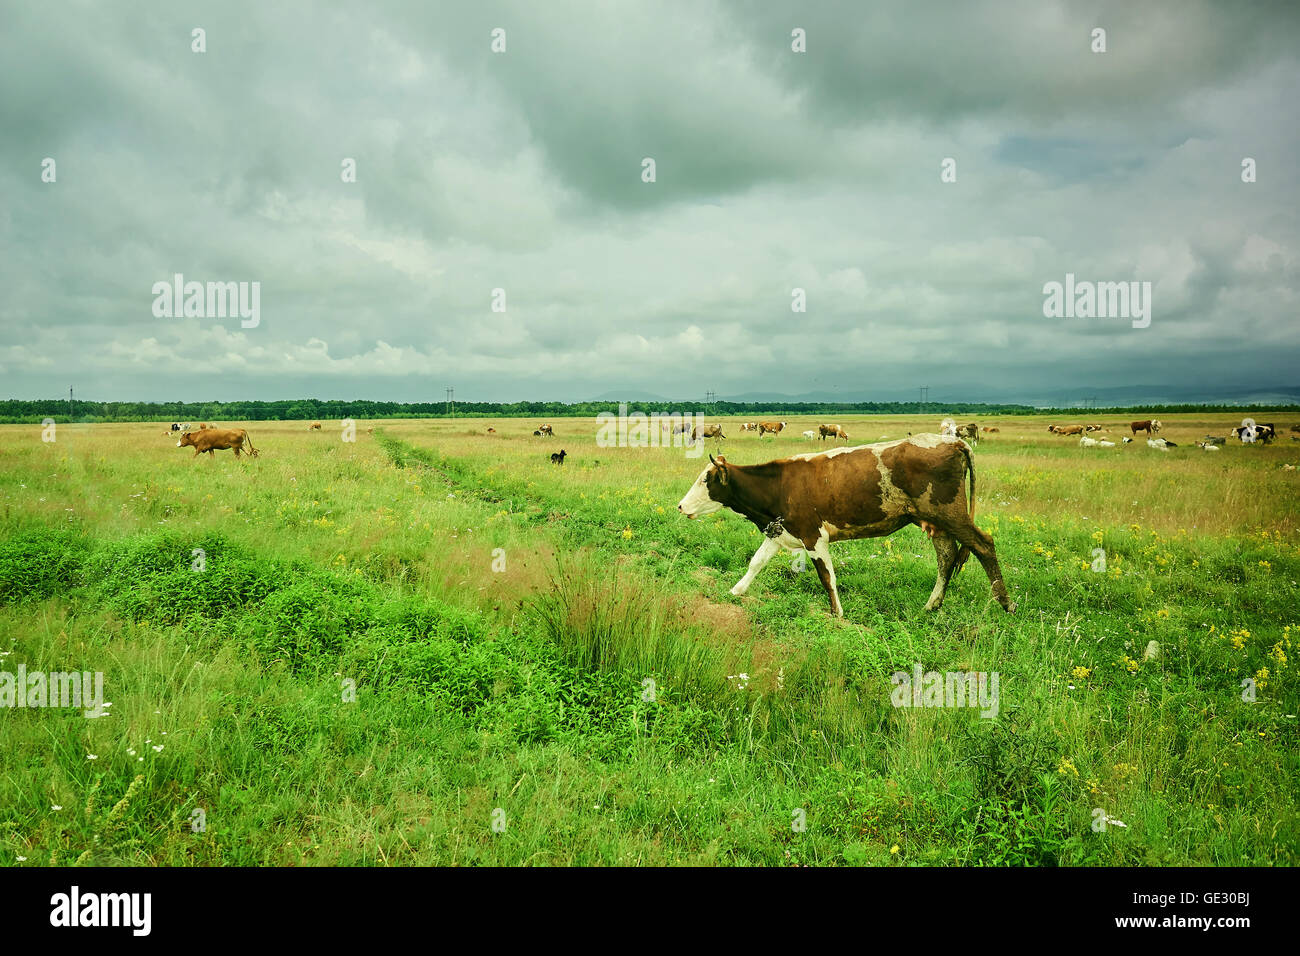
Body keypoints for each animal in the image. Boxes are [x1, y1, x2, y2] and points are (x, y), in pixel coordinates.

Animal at [676, 435, 1014, 617]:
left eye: (705, 479)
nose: (680, 506)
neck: (780, 484)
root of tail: (952, 440)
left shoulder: (813, 536)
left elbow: (827, 577)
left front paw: (836, 614)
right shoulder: (779, 531)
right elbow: (756, 563)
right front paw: (736, 591)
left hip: (950, 515)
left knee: (984, 545)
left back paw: (1005, 604)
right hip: (935, 522)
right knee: (946, 557)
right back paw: (931, 606)